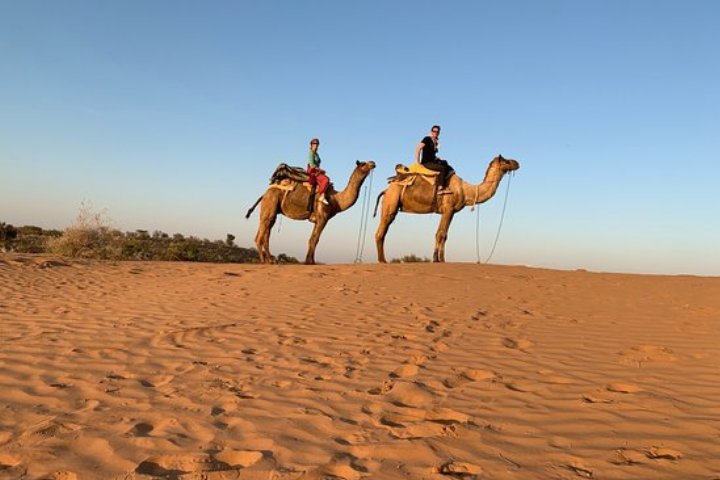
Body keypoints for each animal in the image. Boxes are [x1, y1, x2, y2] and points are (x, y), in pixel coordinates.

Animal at [246, 160, 376, 265]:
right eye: (363, 164)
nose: (373, 163)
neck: (335, 200)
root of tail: (265, 193)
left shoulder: (317, 220)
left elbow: (312, 239)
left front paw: (310, 261)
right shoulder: (323, 217)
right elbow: (315, 239)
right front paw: (309, 262)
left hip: (271, 210)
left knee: (266, 232)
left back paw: (269, 260)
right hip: (270, 204)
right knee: (261, 234)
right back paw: (264, 260)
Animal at [374, 155, 520, 263]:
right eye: (506, 161)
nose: (517, 163)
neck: (466, 190)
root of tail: (386, 189)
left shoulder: (451, 211)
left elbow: (444, 235)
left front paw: (440, 259)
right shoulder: (448, 209)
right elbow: (441, 234)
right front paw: (438, 259)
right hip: (391, 201)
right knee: (381, 231)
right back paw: (382, 260)